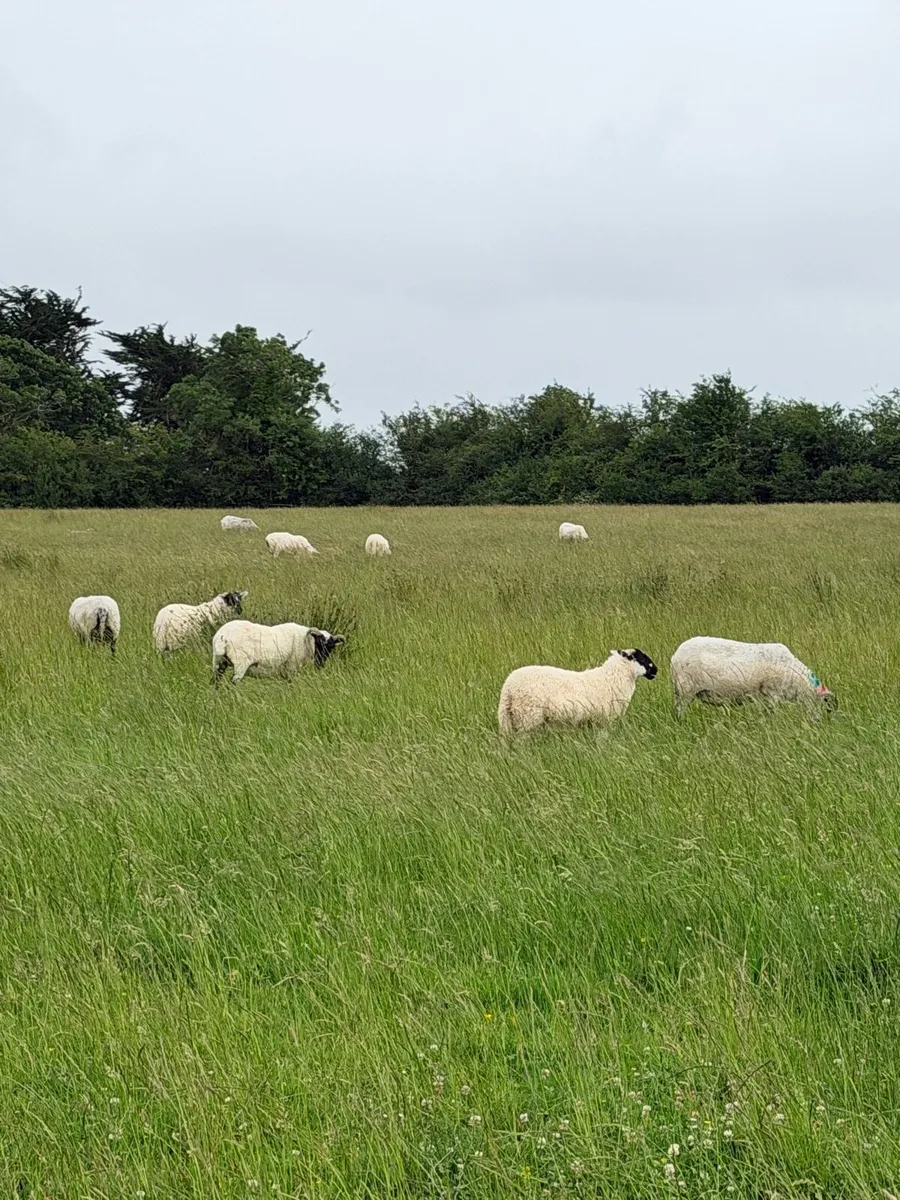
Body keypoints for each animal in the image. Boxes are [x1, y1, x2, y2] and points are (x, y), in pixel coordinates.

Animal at [212, 620, 345, 683]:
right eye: (319, 642)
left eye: (331, 647)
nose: (320, 663)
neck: (305, 641)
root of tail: (222, 636)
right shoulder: (291, 667)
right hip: (240, 663)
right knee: (233, 682)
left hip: (219, 662)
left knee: (216, 682)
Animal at [498, 648, 657, 733]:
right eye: (642, 659)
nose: (655, 670)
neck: (611, 677)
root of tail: (508, 688)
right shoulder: (605, 719)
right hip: (528, 716)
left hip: (508, 719)